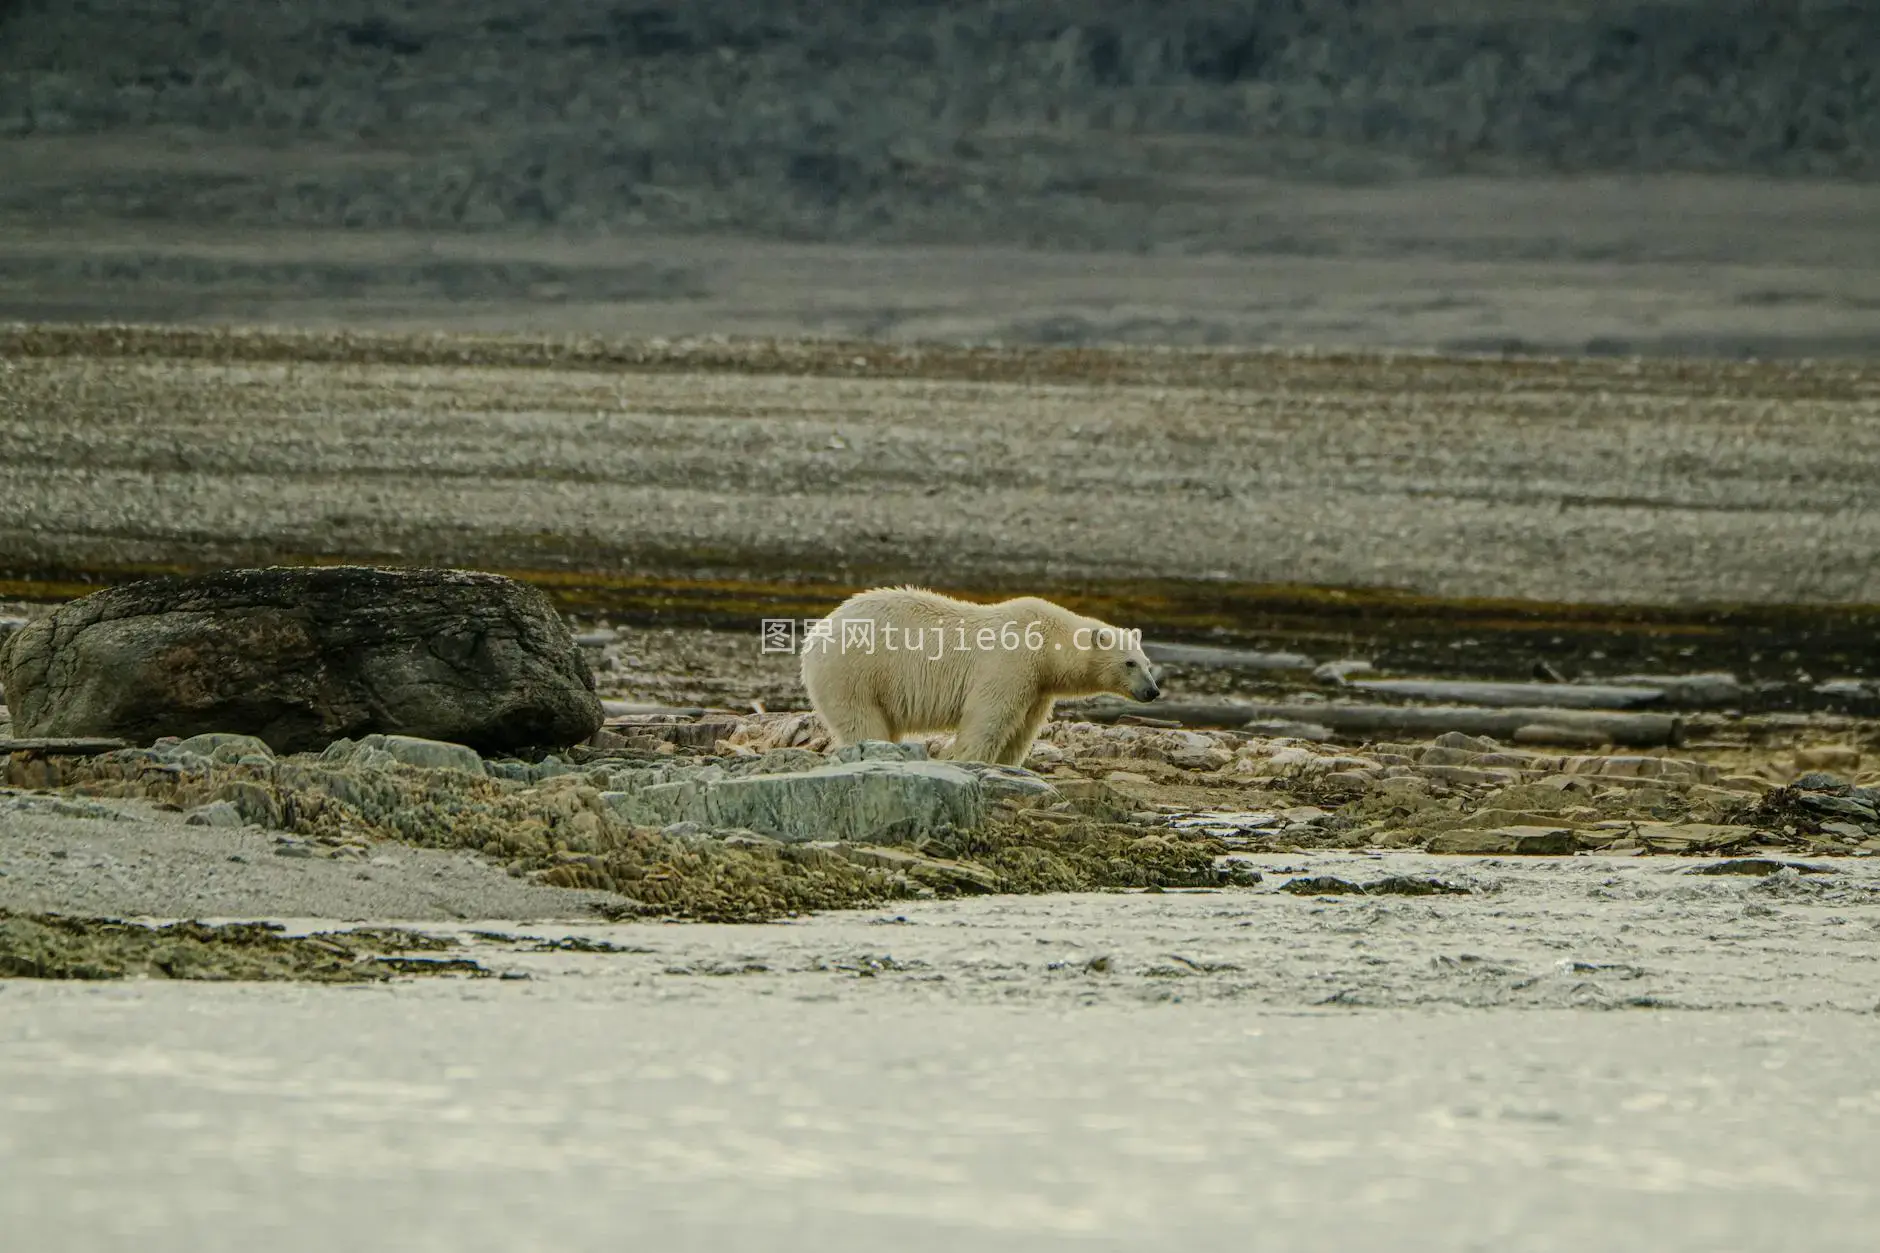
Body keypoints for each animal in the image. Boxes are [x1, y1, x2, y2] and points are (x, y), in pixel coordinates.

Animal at [797, 583, 1150, 767]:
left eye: (1147, 662)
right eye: (1130, 663)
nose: (1153, 691)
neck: (1046, 640)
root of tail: (816, 633)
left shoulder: (1038, 686)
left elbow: (1022, 730)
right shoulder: (1011, 663)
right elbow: (989, 718)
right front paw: (970, 760)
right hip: (854, 672)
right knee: (863, 720)